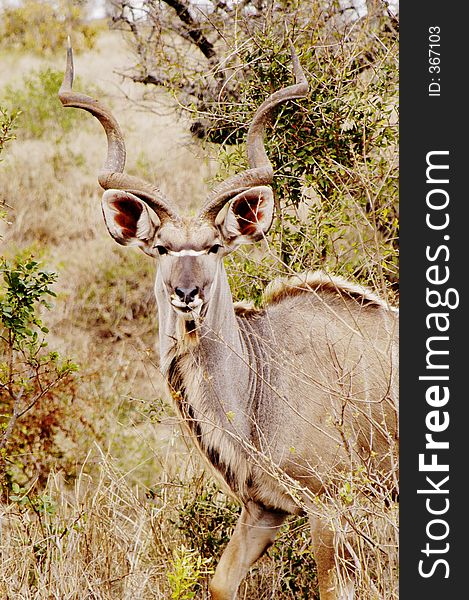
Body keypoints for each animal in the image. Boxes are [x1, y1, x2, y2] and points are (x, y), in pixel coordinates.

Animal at [57, 43, 394, 600]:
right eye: (161, 248)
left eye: (214, 246)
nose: (186, 294)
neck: (263, 377)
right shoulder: (263, 509)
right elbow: (219, 582)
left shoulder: (330, 506)